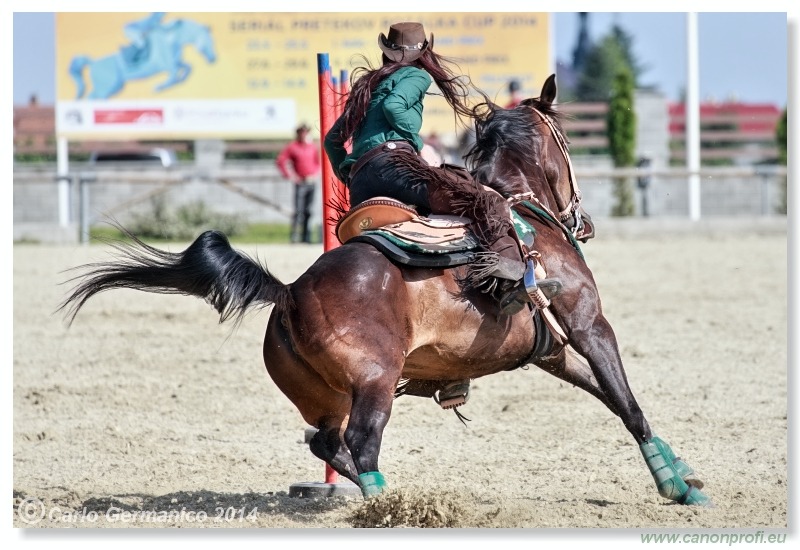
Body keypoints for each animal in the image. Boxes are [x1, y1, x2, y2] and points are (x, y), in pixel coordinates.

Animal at [59, 76, 716, 508]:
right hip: (376, 382)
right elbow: (628, 403)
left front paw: (684, 471)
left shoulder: (550, 352)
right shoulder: (587, 325)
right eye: (569, 143)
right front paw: (676, 487)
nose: (584, 218)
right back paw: (385, 506)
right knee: (360, 445)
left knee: (325, 443)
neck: (523, 215)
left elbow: (612, 400)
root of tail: (290, 292)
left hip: (326, 396)